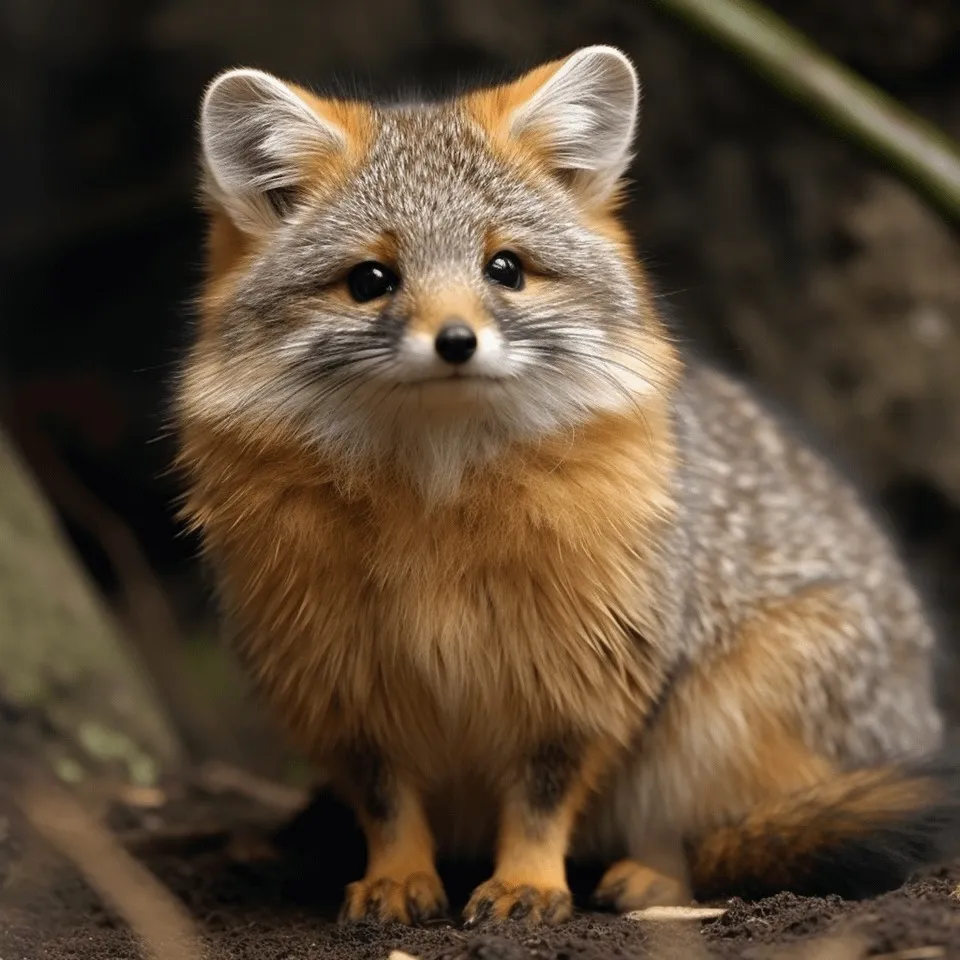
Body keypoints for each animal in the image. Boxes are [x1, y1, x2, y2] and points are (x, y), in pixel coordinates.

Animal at [174, 45, 960, 927]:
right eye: (371, 279)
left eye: (505, 268)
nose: (456, 341)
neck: (433, 510)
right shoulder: (338, 686)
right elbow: (388, 803)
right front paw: (398, 877)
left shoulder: (583, 678)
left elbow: (542, 799)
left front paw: (527, 883)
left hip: (731, 712)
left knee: (741, 832)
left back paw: (652, 877)